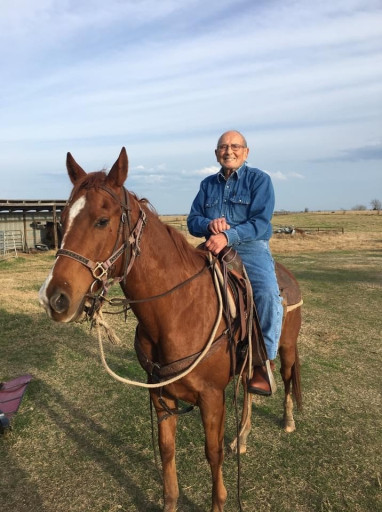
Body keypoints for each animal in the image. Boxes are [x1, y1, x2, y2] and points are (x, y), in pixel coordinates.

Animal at [38, 148, 302, 512]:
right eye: (61, 221)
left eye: (102, 220)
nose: (54, 299)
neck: (177, 311)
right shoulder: (159, 393)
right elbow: (167, 450)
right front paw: (170, 501)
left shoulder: (211, 397)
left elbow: (213, 453)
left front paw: (219, 501)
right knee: (250, 389)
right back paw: (243, 438)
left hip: (288, 347)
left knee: (287, 378)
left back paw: (288, 421)